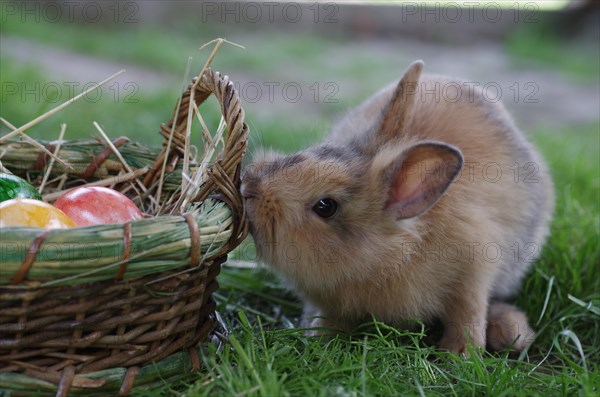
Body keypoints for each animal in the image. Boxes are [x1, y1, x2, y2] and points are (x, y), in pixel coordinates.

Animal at [241, 61, 556, 352]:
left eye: (325, 206)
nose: (248, 187)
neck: (391, 256)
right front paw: (319, 339)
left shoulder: (474, 272)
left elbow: (468, 313)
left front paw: (460, 354)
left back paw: (512, 333)